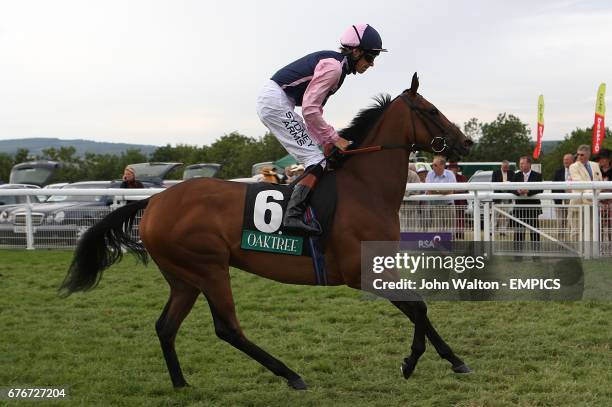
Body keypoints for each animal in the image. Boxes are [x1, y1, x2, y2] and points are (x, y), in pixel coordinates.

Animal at [61, 72, 474, 388]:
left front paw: (454, 359)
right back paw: (290, 374)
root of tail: (156, 201)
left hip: (183, 278)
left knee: (165, 326)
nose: (466, 142)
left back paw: (180, 383)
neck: (363, 187)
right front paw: (411, 361)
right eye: (431, 110)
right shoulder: (359, 271)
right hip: (208, 268)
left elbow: (418, 308)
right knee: (227, 328)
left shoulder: (374, 267)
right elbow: (418, 306)